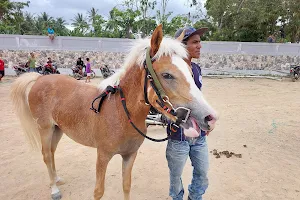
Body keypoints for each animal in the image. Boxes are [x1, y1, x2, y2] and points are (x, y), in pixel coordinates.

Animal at [10, 25, 217, 200]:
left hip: (57, 129)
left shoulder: (129, 156)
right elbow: (98, 192)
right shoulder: (102, 156)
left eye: (190, 71)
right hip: (44, 128)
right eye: (167, 75)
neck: (121, 112)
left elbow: (126, 186)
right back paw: (54, 189)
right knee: (46, 155)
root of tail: (39, 79)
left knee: (52, 154)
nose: (210, 118)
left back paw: (57, 179)